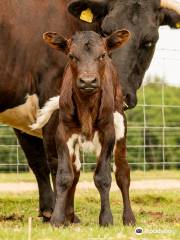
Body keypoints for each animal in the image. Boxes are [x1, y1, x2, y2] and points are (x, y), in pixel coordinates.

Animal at [42, 30, 135, 227]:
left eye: (102, 55)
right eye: (71, 56)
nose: (88, 81)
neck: (86, 105)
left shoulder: (108, 132)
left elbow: (103, 177)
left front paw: (106, 219)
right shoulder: (63, 132)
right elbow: (64, 176)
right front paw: (58, 219)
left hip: (120, 127)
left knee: (122, 172)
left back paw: (129, 218)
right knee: (76, 172)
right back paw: (69, 216)